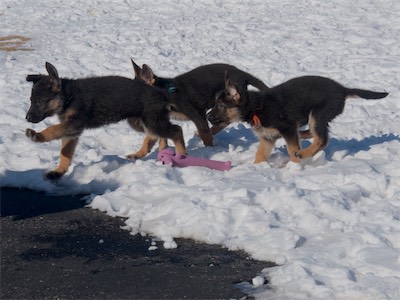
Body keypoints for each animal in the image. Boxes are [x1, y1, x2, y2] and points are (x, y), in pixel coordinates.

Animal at [25, 61, 187, 179]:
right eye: (31, 101)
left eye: (39, 101)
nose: (27, 118)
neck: (68, 96)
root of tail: (161, 93)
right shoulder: (71, 132)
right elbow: (65, 153)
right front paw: (59, 172)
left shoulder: (74, 123)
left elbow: (52, 129)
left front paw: (37, 135)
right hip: (140, 122)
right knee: (157, 135)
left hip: (152, 121)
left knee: (176, 130)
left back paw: (182, 155)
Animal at [131, 59, 268, 157]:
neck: (166, 93)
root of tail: (243, 74)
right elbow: (150, 138)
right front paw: (138, 154)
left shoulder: (198, 115)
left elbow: (205, 135)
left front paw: (210, 150)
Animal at [208, 75, 390, 164]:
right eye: (215, 103)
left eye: (220, 105)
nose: (208, 117)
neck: (256, 107)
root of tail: (343, 90)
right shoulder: (268, 137)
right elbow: (260, 154)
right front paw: (257, 169)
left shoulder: (286, 126)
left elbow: (291, 149)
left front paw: (294, 166)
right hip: (315, 118)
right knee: (312, 134)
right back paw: (302, 138)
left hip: (317, 114)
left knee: (322, 140)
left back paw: (303, 153)